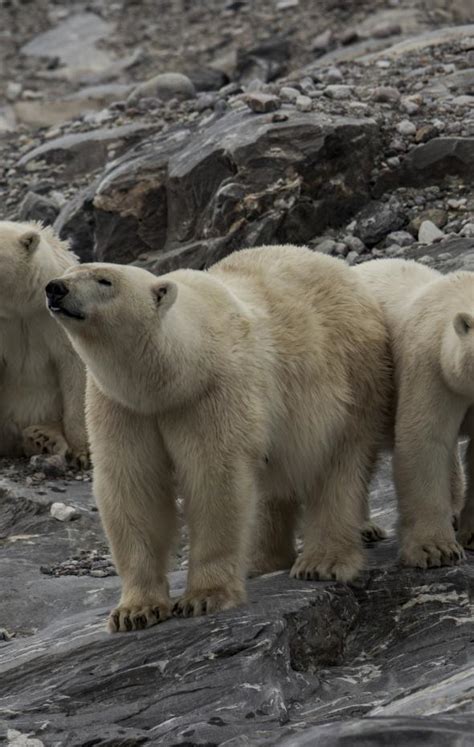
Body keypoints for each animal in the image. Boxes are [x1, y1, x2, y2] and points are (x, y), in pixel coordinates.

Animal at [46, 244, 390, 632]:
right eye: (70, 272)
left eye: (105, 280)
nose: (55, 288)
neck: (176, 372)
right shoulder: (122, 406)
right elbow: (133, 485)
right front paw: (134, 611)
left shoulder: (213, 392)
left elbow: (215, 478)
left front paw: (205, 597)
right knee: (273, 484)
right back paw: (262, 561)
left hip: (350, 378)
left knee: (339, 466)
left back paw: (324, 562)